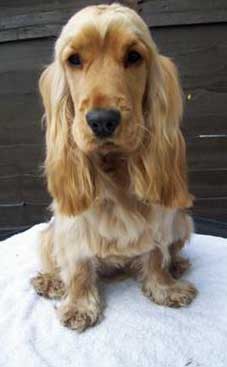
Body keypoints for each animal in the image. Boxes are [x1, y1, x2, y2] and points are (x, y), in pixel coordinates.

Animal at [31, 2, 197, 332]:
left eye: (133, 56)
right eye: (74, 59)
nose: (102, 121)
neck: (114, 165)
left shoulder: (162, 220)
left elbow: (157, 255)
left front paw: (165, 287)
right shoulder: (72, 229)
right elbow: (78, 266)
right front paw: (79, 305)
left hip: (182, 221)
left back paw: (178, 265)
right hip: (48, 234)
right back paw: (51, 281)